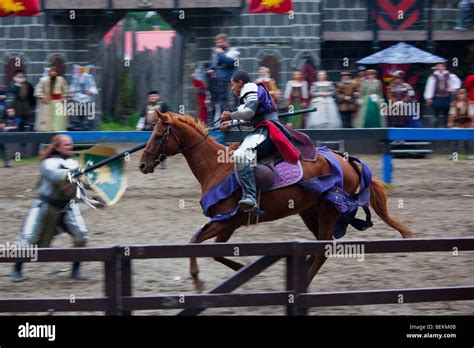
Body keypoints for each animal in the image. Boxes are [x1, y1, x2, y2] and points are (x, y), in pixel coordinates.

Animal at [138, 112, 414, 288]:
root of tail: (345, 160)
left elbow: (194, 241)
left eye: (159, 135)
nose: (142, 164)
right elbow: (216, 253)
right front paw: (241, 270)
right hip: (310, 212)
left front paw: (197, 279)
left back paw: (304, 283)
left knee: (323, 249)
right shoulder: (228, 223)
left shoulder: (225, 221)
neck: (217, 168)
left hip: (328, 210)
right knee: (321, 248)